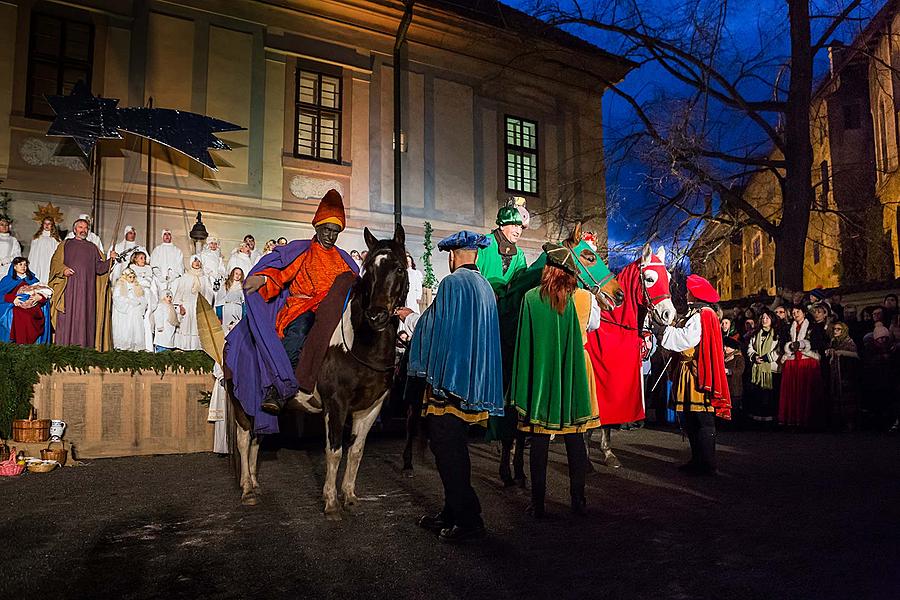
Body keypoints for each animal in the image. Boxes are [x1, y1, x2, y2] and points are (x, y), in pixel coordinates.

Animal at [229, 225, 408, 520]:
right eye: (369, 270)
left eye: (400, 268)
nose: (377, 315)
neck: (360, 347)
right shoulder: (336, 404)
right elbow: (334, 451)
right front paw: (331, 503)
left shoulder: (371, 407)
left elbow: (356, 452)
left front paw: (350, 497)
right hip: (241, 401)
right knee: (244, 440)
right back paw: (246, 491)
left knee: (257, 439)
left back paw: (254, 483)